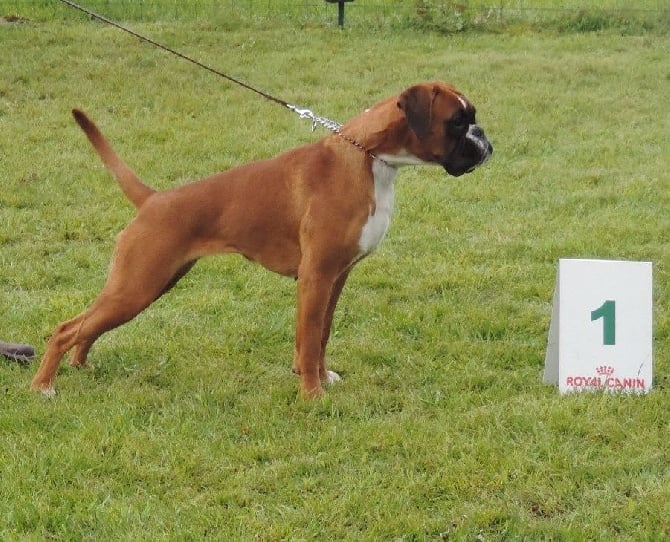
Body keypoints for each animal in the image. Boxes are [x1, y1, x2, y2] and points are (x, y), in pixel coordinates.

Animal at [30, 83, 494, 402]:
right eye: (457, 121)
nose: (487, 142)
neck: (368, 158)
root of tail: (155, 199)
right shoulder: (315, 278)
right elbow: (308, 337)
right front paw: (312, 395)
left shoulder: (336, 278)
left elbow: (321, 335)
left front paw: (321, 378)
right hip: (138, 285)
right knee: (66, 328)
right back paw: (43, 386)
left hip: (147, 286)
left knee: (88, 327)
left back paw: (81, 365)